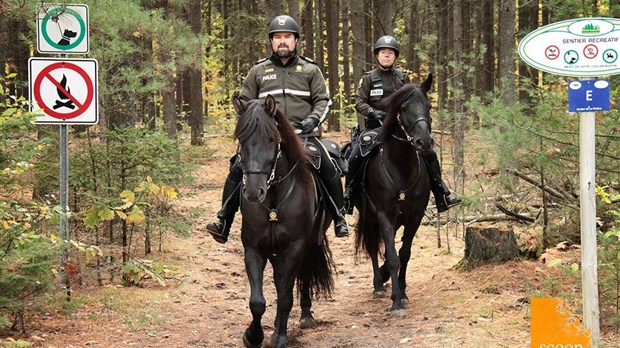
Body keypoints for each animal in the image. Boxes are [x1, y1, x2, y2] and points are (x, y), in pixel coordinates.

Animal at [232, 95, 334, 348]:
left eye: (272, 139)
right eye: (242, 138)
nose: (254, 192)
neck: (274, 199)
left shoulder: (295, 248)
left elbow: (286, 297)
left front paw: (280, 338)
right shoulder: (254, 249)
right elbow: (257, 301)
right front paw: (253, 336)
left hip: (309, 245)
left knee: (301, 277)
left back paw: (305, 317)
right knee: (279, 282)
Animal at [352, 75, 434, 316]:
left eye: (429, 106)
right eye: (404, 108)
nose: (424, 143)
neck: (401, 168)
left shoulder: (415, 216)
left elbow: (403, 253)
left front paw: (403, 293)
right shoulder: (384, 216)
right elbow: (393, 258)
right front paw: (396, 301)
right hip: (369, 217)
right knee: (372, 247)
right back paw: (379, 285)